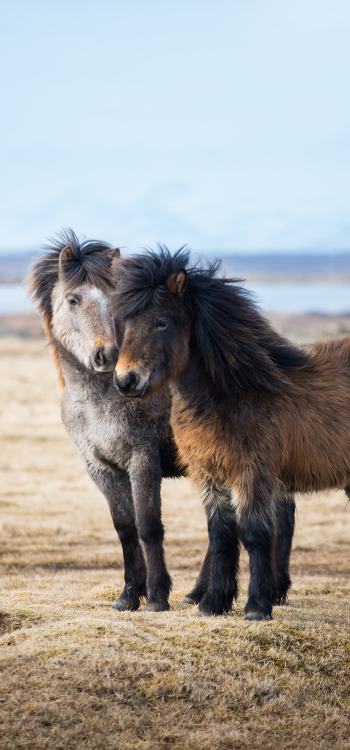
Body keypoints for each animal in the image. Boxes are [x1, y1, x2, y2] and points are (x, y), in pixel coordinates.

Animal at [113, 248, 348, 624]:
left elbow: (253, 533)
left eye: (161, 321)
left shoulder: (251, 473)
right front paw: (213, 604)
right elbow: (221, 535)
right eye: (127, 322)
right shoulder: (211, 474)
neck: (235, 392)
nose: (126, 380)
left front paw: (256, 608)